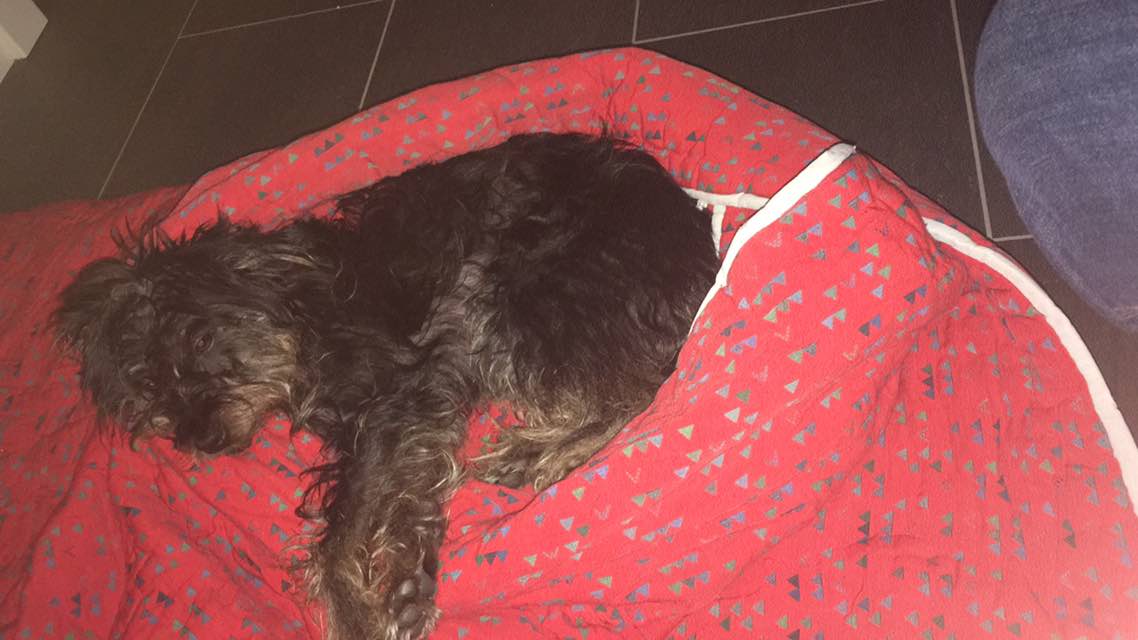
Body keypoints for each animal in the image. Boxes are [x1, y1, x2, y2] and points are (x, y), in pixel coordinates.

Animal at [53, 132, 719, 639]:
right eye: (151, 395)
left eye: (196, 340)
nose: (201, 439)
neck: (300, 303)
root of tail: (699, 251)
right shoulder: (403, 419)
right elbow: (394, 505)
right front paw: (403, 586)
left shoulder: (399, 394)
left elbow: (341, 535)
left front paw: (359, 616)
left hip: (512, 286)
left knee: (640, 387)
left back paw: (540, 452)